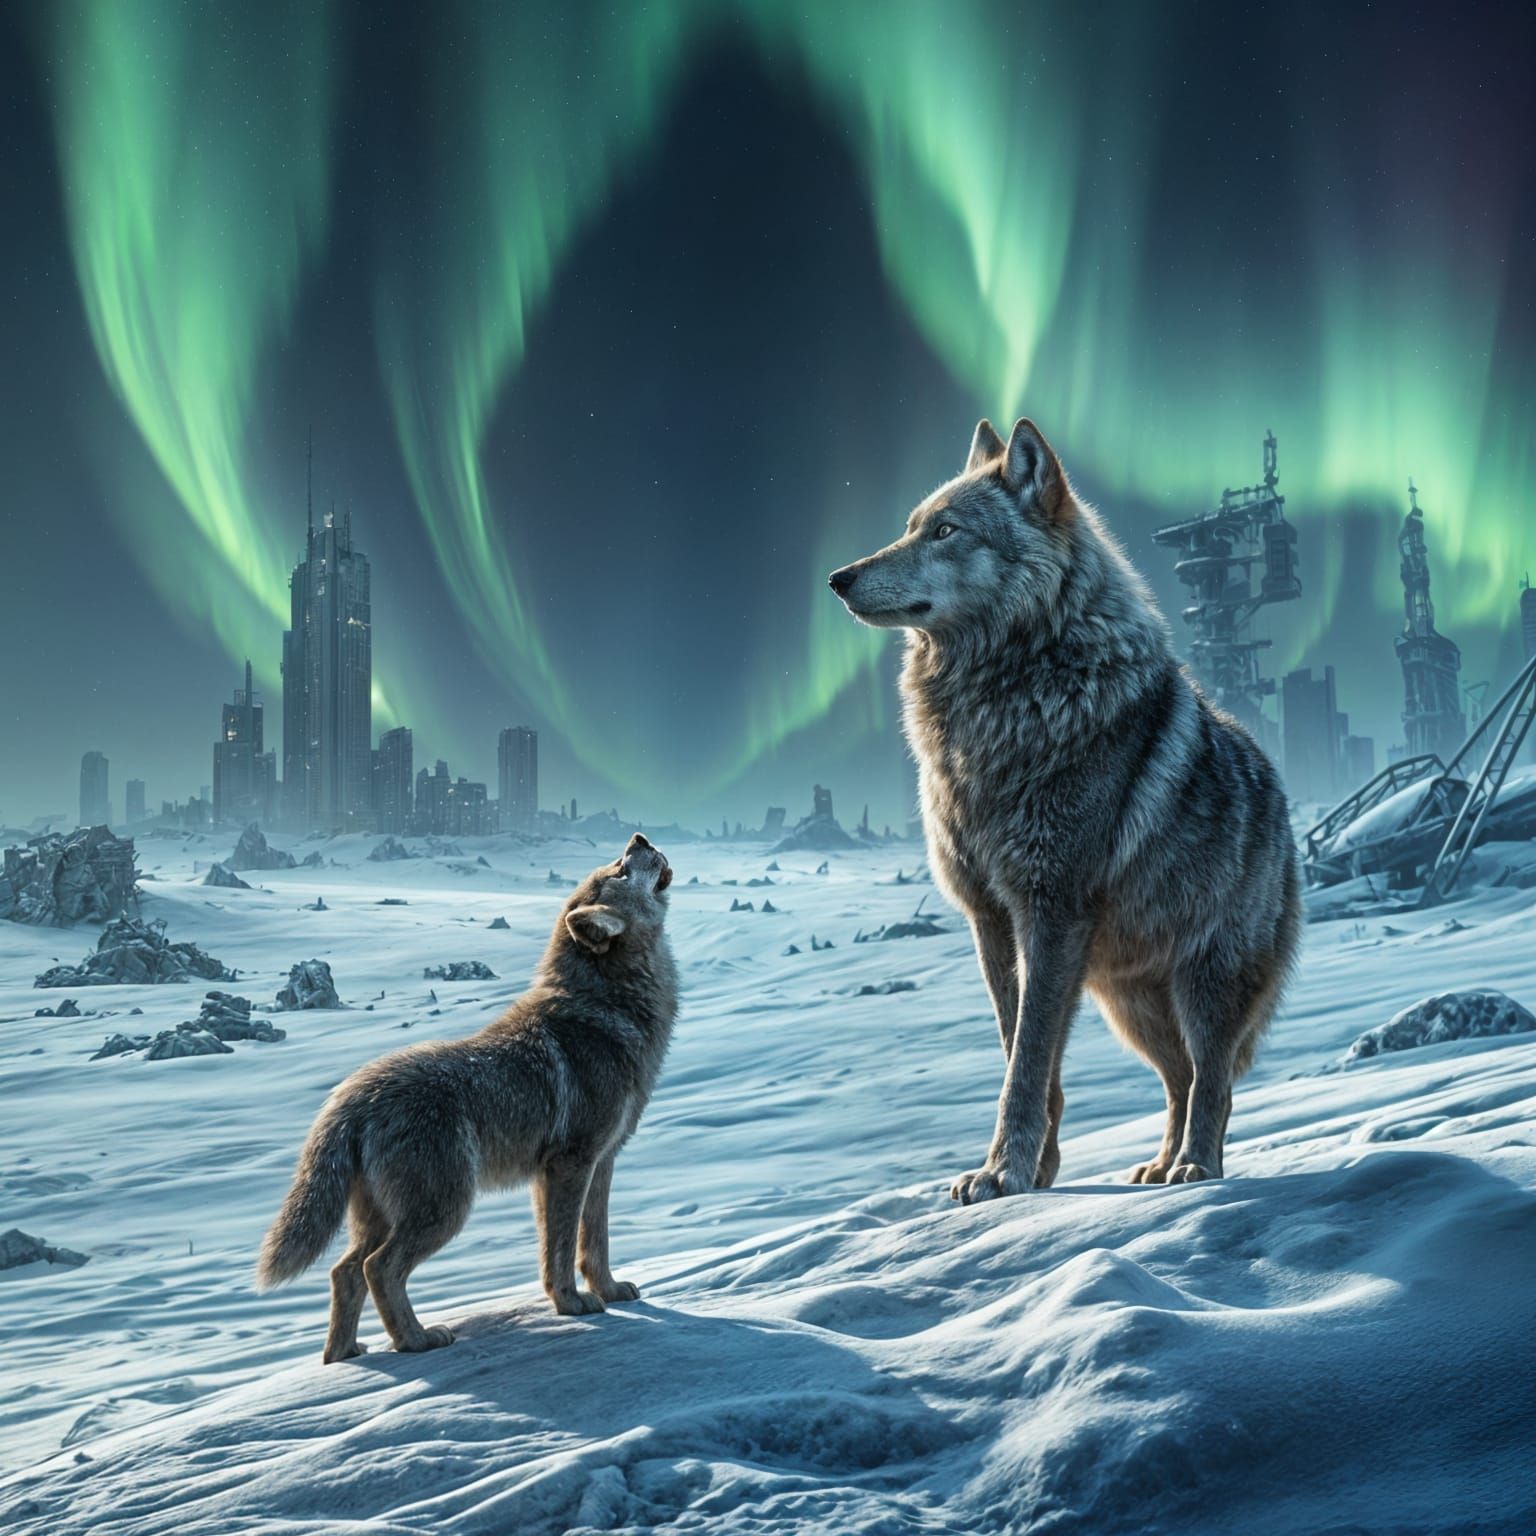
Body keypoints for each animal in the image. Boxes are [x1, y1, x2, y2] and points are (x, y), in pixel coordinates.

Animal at [256, 833, 677, 1362]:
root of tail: (349, 1098)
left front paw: (609, 1291)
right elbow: (560, 1250)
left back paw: (346, 1356)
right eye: (619, 868)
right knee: (378, 1268)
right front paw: (572, 1305)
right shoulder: (570, 1165)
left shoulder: (600, 1163)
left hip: (385, 1217)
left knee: (345, 1271)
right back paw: (416, 1340)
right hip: (446, 1208)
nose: (639, 838)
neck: (610, 1006)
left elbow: (592, 1242)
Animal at [829, 418, 1299, 1202]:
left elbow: (1026, 1062)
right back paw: (1159, 1167)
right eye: (910, 528)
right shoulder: (991, 919)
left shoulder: (1050, 912)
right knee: (1179, 1079)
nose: (838, 578)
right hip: (1129, 1005)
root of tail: (1283, 796)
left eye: (946, 531)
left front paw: (1005, 1171)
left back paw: (1196, 1168)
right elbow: (1021, 1051)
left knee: (1213, 1079)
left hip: (1202, 985)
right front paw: (1034, 1172)